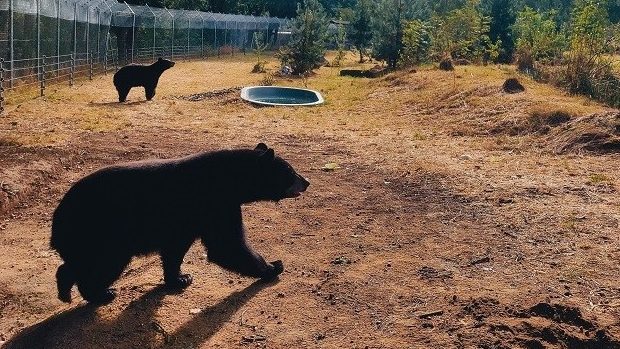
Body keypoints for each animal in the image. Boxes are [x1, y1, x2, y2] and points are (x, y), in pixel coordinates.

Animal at [50, 143, 310, 304]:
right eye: (290, 171)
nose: (307, 181)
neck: (229, 180)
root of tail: (58, 216)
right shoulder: (215, 203)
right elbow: (226, 245)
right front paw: (273, 267)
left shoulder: (186, 221)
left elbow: (175, 250)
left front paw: (179, 278)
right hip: (102, 231)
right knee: (103, 263)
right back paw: (100, 293)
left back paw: (66, 291)